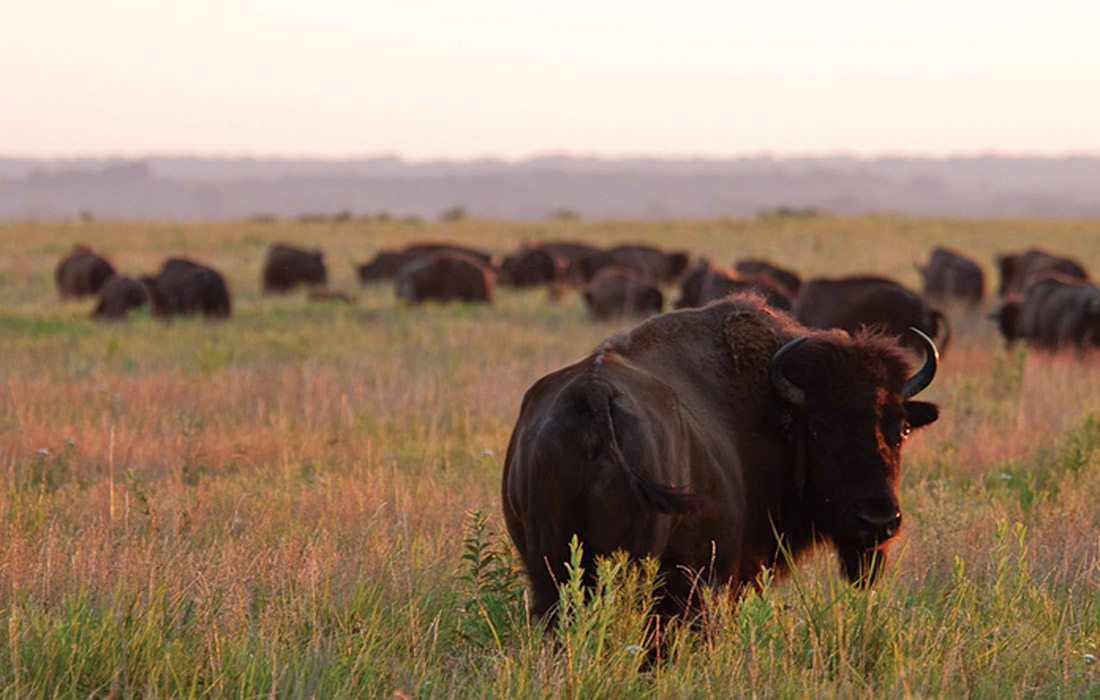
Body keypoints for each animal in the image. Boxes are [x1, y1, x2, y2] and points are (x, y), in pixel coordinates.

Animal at [503, 294, 941, 616]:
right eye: (818, 429)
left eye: (901, 429)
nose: (878, 522)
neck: (775, 410)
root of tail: (594, 394)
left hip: (548, 569)